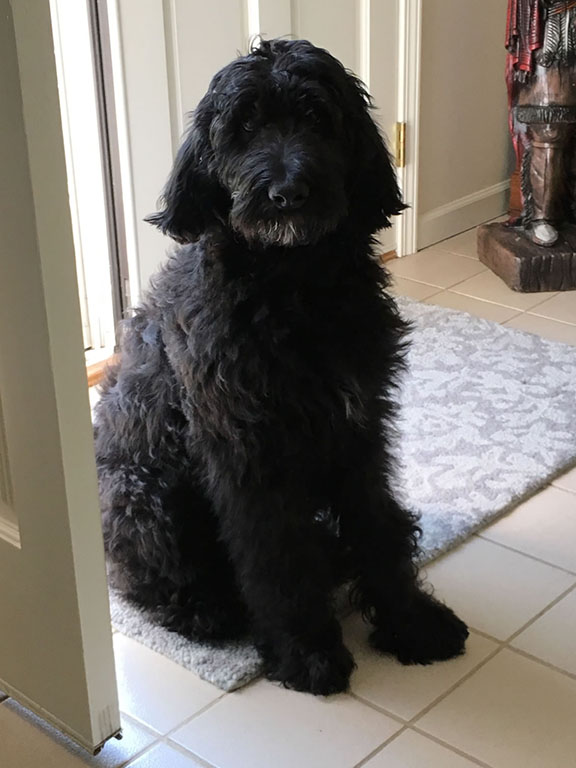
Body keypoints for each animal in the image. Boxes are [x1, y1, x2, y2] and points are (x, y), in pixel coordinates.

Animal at [94, 37, 470, 696]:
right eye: (243, 127)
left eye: (318, 118)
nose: (289, 193)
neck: (294, 288)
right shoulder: (249, 451)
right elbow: (275, 557)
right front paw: (306, 650)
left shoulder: (360, 428)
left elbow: (378, 526)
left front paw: (410, 622)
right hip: (144, 495)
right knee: (153, 585)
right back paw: (209, 609)